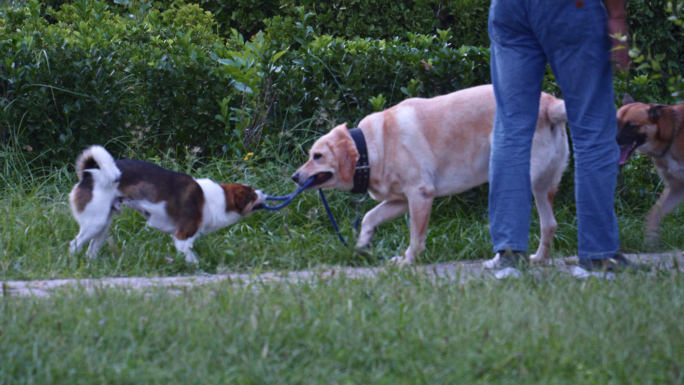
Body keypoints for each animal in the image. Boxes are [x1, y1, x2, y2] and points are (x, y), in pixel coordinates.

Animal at [67, 146, 264, 262]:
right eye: (253, 195)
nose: (264, 192)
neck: (216, 200)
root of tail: (88, 175)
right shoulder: (182, 237)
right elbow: (192, 259)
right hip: (95, 223)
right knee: (74, 244)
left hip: (103, 225)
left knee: (91, 249)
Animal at [292, 83, 568, 264]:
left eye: (317, 156)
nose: (295, 177)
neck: (371, 148)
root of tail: (549, 103)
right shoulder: (400, 200)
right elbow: (370, 217)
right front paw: (362, 246)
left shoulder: (420, 195)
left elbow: (416, 237)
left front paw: (407, 262)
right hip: (543, 188)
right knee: (550, 224)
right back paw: (539, 259)